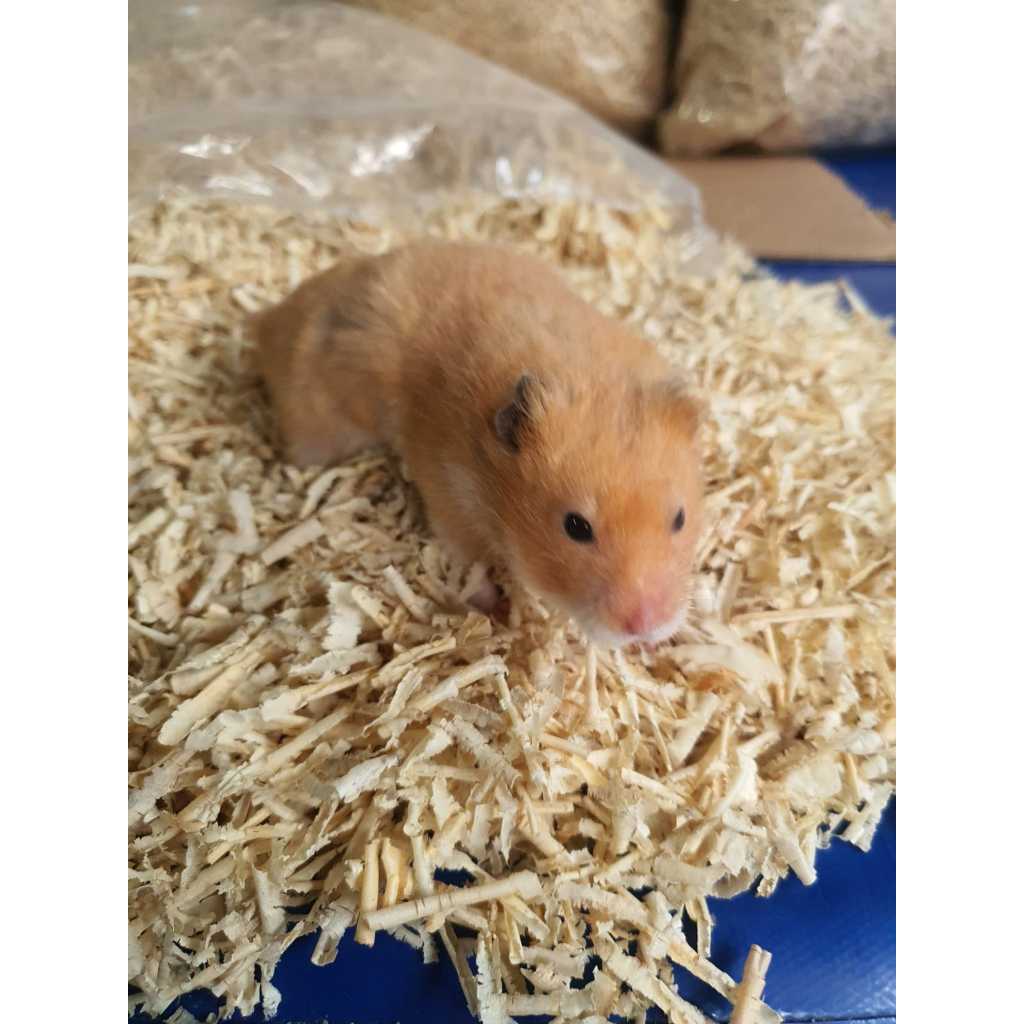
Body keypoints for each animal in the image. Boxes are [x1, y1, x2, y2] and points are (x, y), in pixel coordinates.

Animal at [255, 241, 703, 648]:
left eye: (680, 519)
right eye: (575, 526)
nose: (646, 626)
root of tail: (266, 321)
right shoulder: (450, 497)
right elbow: (469, 561)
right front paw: (493, 608)